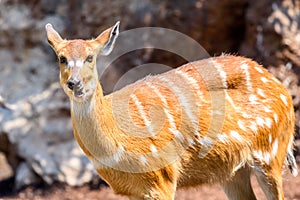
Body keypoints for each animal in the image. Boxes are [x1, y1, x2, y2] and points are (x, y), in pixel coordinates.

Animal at [45, 21, 296, 199]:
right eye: (62, 58)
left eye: (90, 57)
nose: (74, 83)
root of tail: (282, 88)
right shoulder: (135, 190)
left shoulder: (162, 177)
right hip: (231, 170)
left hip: (271, 151)